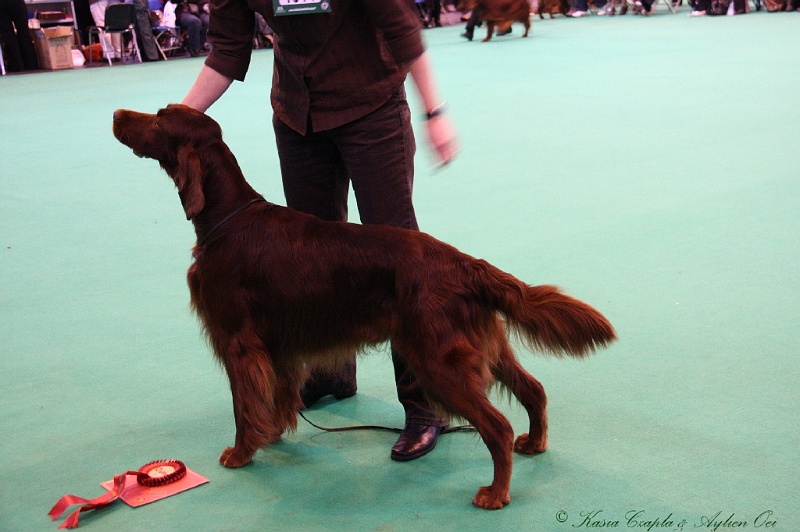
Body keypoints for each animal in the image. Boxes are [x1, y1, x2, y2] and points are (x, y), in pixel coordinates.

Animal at [109, 104, 616, 508]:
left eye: (158, 118)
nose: (116, 114)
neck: (227, 217)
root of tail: (466, 264)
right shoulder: (277, 345)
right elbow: (275, 397)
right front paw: (271, 435)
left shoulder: (238, 341)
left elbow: (242, 405)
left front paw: (240, 453)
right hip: (482, 345)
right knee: (534, 389)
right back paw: (536, 443)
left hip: (438, 359)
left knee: (497, 426)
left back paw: (495, 493)